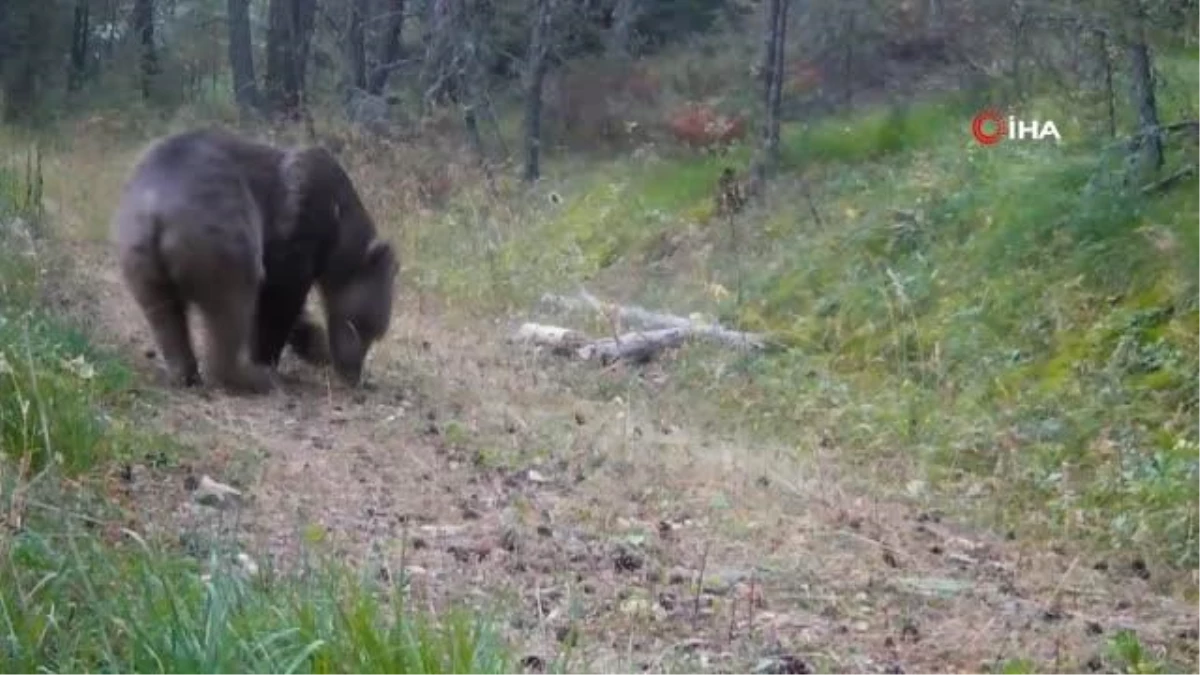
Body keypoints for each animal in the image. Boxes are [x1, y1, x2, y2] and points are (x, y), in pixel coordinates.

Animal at [111, 126, 398, 391]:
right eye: (364, 327)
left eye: (374, 333)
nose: (355, 375)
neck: (338, 227)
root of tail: (155, 209)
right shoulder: (301, 224)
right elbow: (280, 298)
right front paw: (272, 358)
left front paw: (315, 344)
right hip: (220, 235)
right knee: (231, 304)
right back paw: (251, 377)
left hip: (139, 255)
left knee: (164, 313)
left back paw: (185, 373)